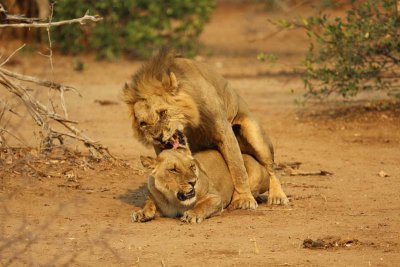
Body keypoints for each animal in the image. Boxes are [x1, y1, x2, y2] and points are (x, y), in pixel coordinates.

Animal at [122, 47, 288, 209]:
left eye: (162, 113)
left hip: (255, 135)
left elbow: (238, 169)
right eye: (143, 123)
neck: (190, 127)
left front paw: (243, 199)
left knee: (270, 168)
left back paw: (277, 196)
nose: (157, 137)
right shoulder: (160, 148)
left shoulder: (223, 130)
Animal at [133, 149, 274, 224]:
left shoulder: (216, 198)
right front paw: (141, 213)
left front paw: (191, 215)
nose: (193, 181)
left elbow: (203, 205)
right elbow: (149, 203)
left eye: (192, 166)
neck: (174, 200)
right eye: (173, 170)